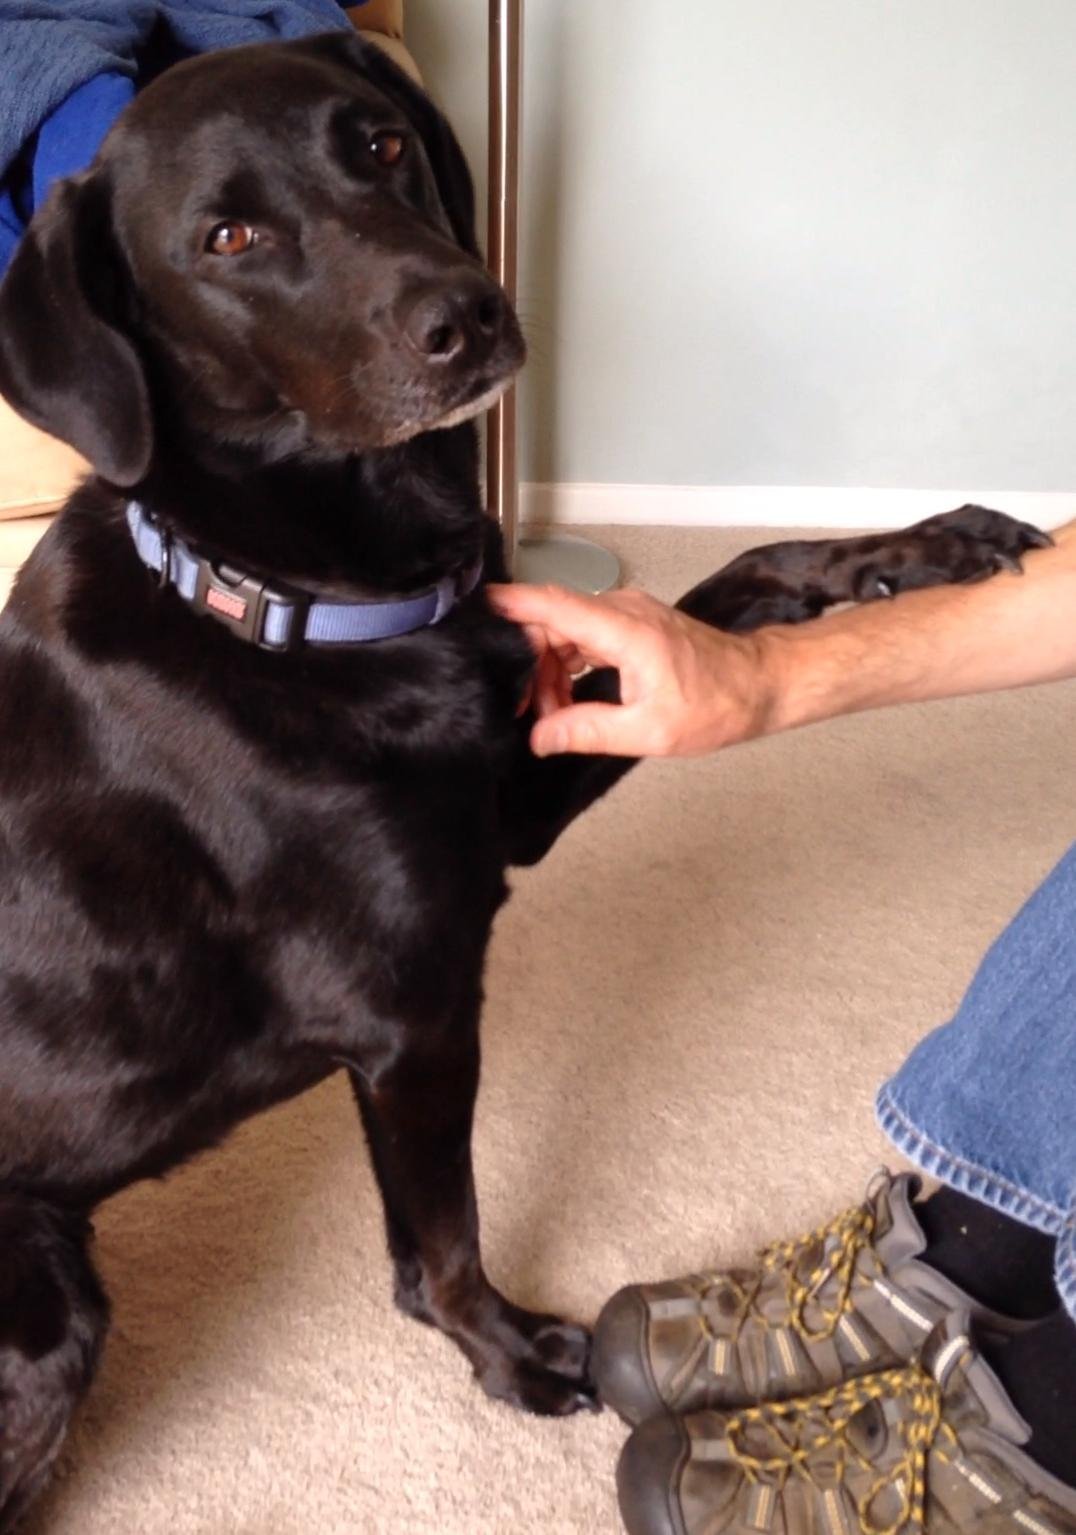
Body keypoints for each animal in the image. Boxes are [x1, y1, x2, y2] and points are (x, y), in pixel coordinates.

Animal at [0, 29, 1043, 1528]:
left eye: (376, 143)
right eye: (229, 237)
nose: (468, 315)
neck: (278, 598)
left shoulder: (523, 786)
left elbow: (722, 588)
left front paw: (917, 549)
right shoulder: (414, 1014)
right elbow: (441, 1234)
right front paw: (511, 1356)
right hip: (45, 1309)